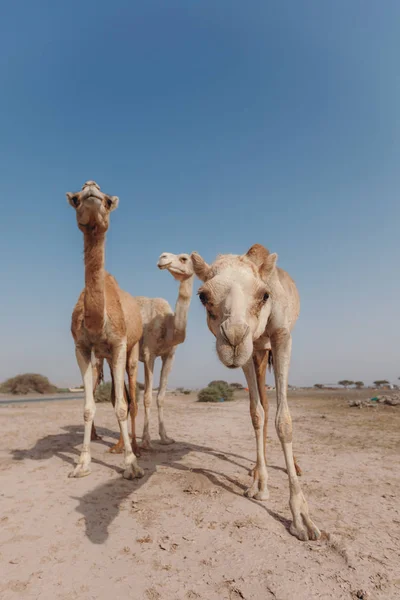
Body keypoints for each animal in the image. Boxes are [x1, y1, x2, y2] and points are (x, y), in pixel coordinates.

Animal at [67, 180, 144, 480]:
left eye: (108, 200)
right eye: (76, 199)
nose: (91, 186)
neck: (96, 321)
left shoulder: (120, 343)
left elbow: (123, 405)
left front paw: (131, 465)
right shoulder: (82, 348)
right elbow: (89, 408)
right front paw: (81, 464)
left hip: (132, 350)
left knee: (132, 398)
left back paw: (137, 449)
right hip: (107, 359)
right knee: (116, 396)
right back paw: (117, 447)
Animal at [191, 244, 322, 544]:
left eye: (264, 295)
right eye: (203, 296)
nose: (233, 339)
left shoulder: (281, 336)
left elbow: (284, 421)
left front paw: (302, 520)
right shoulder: (251, 352)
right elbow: (257, 413)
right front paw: (259, 485)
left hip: (266, 347)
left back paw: (294, 466)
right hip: (259, 351)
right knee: (262, 401)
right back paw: (255, 470)